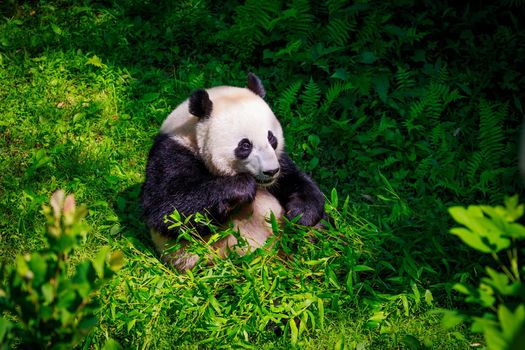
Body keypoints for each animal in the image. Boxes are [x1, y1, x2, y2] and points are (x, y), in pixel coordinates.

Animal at [141, 73, 326, 270]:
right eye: (245, 145)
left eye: (271, 138)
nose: (271, 171)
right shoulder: (170, 153)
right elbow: (166, 209)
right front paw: (242, 187)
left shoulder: (280, 161)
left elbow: (295, 180)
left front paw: (301, 214)